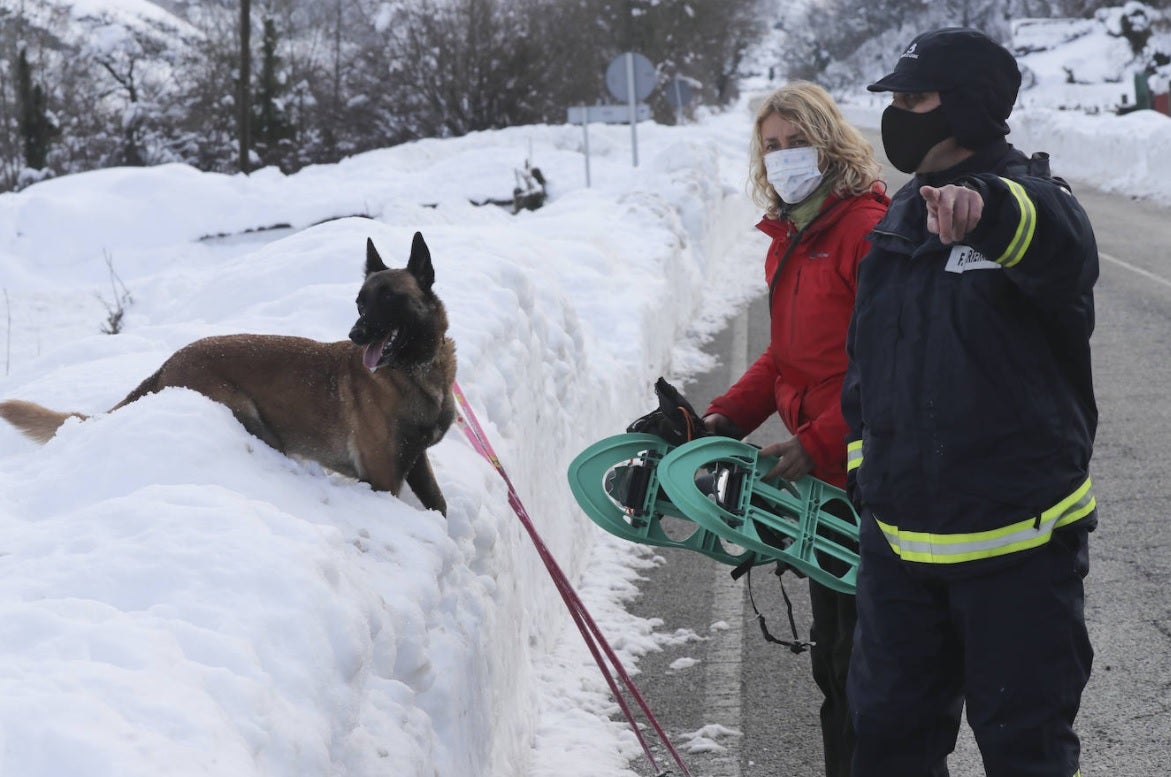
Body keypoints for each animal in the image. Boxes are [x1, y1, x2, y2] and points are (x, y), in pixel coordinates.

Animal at [0, 230, 456, 514]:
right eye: (361, 303)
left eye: (390, 299)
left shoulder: (415, 461)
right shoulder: (381, 476)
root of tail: (167, 364)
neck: (416, 372)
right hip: (245, 413)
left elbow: (439, 504)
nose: (355, 334)